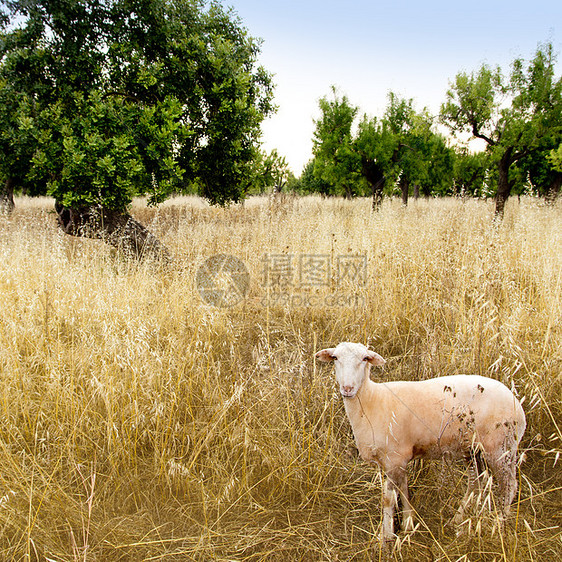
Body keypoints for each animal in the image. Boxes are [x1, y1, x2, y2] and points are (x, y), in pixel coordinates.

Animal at [316, 340, 524, 540]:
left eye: (365, 358)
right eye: (335, 357)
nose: (347, 388)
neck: (371, 401)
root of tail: (516, 404)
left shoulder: (394, 458)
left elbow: (389, 499)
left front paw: (386, 537)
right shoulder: (397, 460)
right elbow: (404, 490)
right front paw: (407, 525)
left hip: (500, 448)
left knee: (509, 486)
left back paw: (499, 524)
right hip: (472, 449)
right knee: (476, 483)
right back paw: (458, 521)